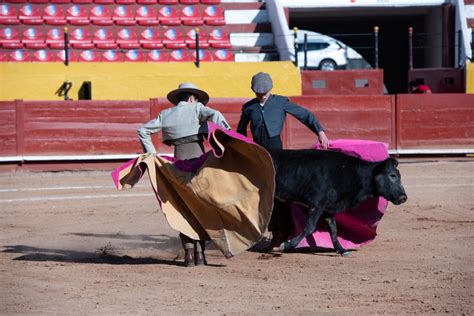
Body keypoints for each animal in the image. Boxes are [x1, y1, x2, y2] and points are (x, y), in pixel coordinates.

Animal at [268, 148, 410, 254]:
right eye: (392, 175)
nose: (403, 197)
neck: (348, 172)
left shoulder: (329, 208)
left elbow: (333, 230)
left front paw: (341, 250)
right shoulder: (316, 204)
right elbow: (309, 227)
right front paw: (286, 246)